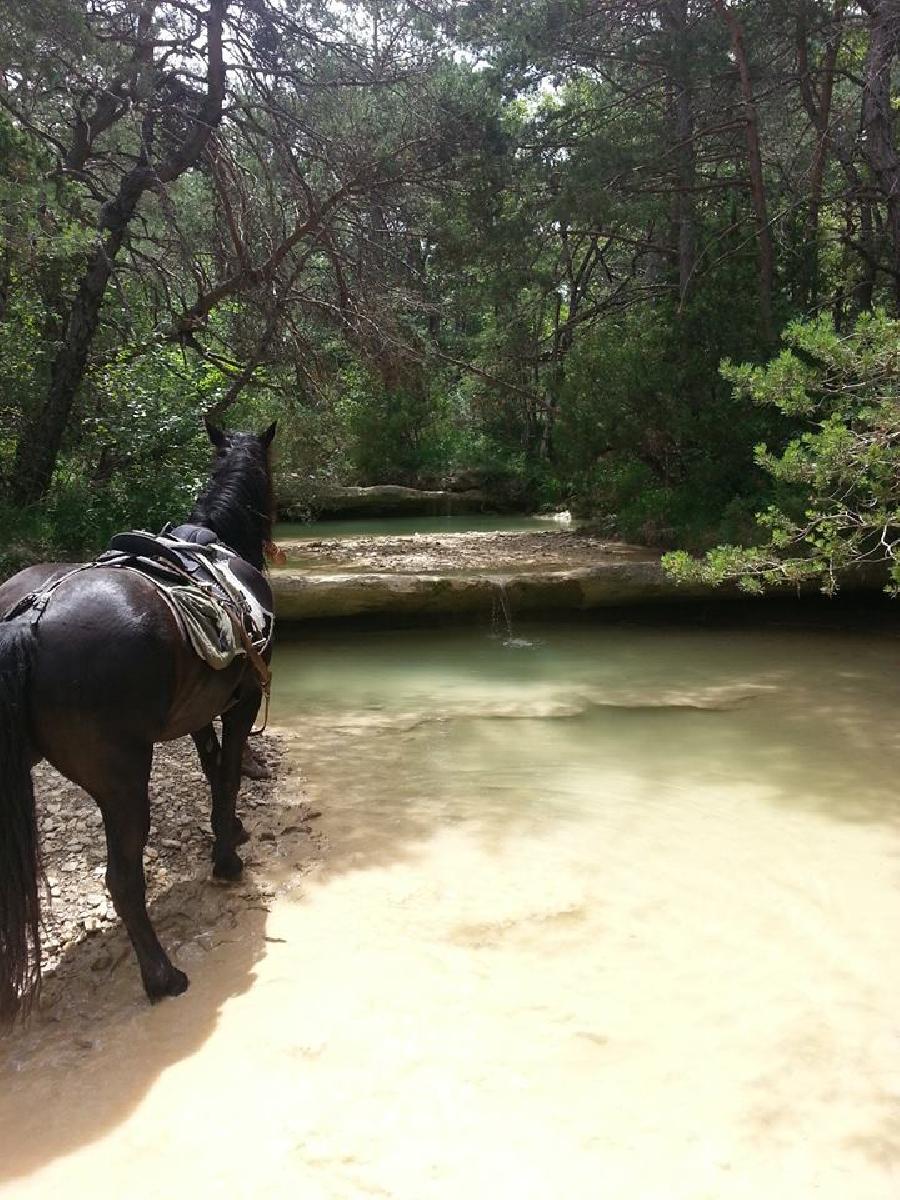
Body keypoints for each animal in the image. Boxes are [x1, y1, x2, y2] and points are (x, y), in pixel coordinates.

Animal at [0, 422, 274, 1022]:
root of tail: (29, 616)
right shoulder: (241, 700)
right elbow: (229, 769)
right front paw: (227, 858)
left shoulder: (199, 705)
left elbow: (210, 762)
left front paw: (231, 831)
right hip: (122, 782)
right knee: (123, 879)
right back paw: (163, 975)